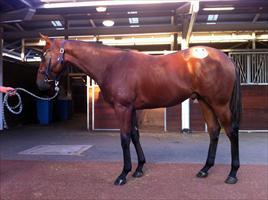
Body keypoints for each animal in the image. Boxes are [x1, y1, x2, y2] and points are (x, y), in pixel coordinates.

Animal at [35, 34, 241, 186]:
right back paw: (205, 169)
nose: (40, 83)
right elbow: (135, 135)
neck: (111, 65)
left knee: (231, 132)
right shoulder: (132, 109)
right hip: (205, 102)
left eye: (44, 54)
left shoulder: (123, 108)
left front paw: (123, 174)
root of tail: (226, 58)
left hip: (219, 104)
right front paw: (139, 169)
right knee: (214, 131)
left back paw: (232, 173)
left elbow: (125, 138)